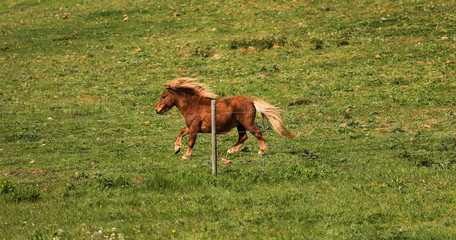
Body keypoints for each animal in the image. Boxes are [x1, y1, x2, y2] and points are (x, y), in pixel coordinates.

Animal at [154, 78, 296, 159]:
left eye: (164, 96)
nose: (157, 110)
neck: (194, 106)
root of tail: (252, 101)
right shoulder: (192, 127)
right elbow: (181, 133)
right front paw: (177, 148)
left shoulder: (194, 128)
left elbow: (191, 142)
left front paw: (185, 156)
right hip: (240, 125)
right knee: (243, 137)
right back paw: (231, 150)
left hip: (247, 123)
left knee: (257, 133)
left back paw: (261, 151)